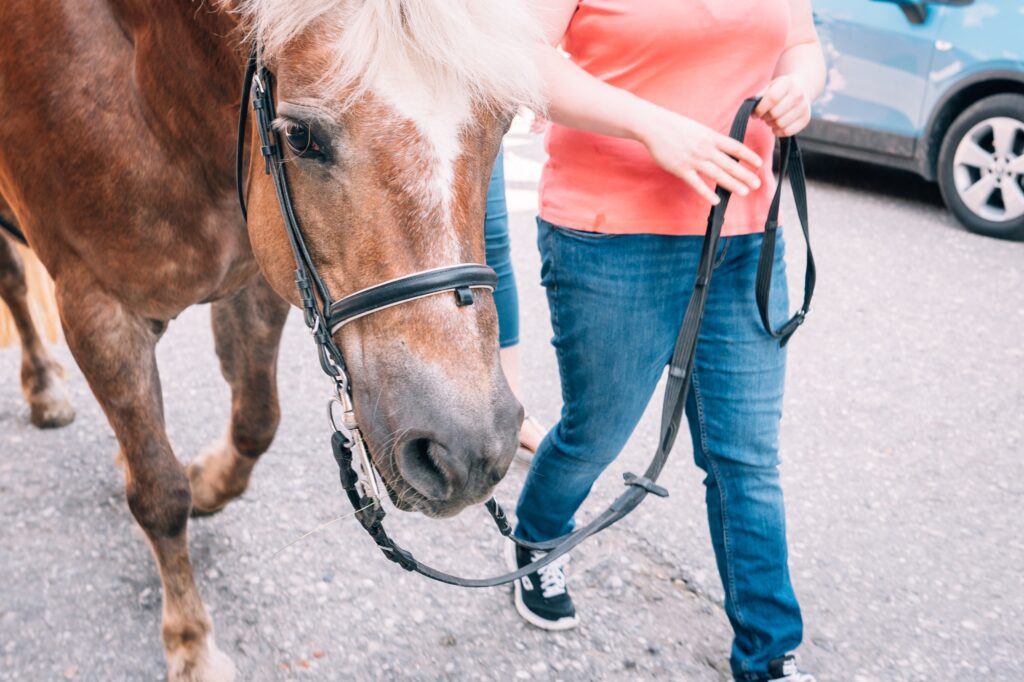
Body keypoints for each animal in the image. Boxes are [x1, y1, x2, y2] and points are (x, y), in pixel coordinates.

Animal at [0, 2, 548, 675]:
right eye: (301, 137)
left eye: (503, 123)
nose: (469, 450)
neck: (155, 92)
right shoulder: (97, 310)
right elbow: (159, 491)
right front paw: (191, 641)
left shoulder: (258, 277)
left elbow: (255, 422)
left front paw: (207, 484)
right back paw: (44, 388)